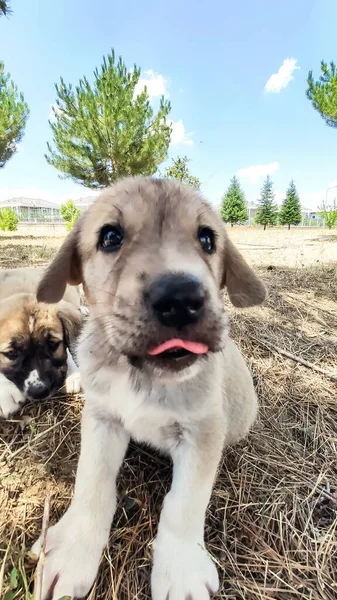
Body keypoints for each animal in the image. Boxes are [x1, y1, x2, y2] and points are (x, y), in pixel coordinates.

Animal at [32, 177, 266, 600]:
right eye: (110, 236)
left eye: (207, 239)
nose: (181, 298)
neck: (141, 376)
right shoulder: (102, 418)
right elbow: (91, 482)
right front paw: (74, 548)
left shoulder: (203, 433)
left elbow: (184, 504)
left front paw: (181, 569)